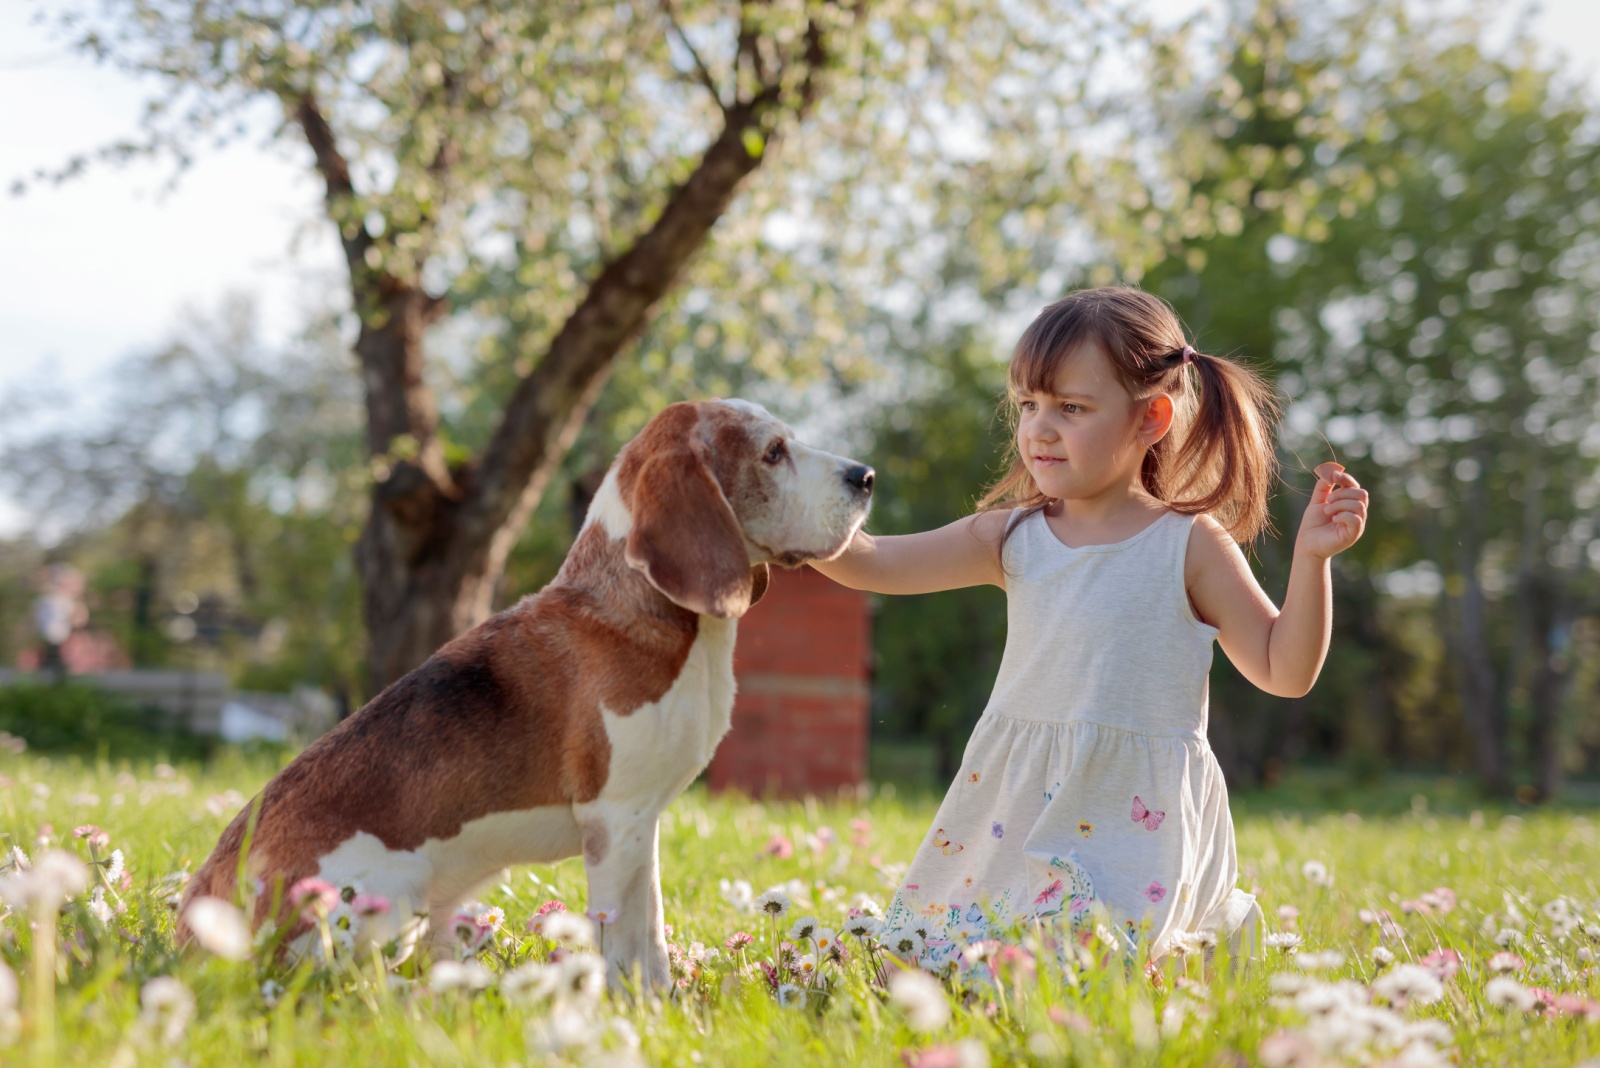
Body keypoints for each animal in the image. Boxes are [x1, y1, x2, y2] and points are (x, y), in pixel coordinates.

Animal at [181, 398, 876, 984]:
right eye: (774, 452)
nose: (866, 476)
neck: (642, 606)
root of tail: (200, 911)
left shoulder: (642, 829)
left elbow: (650, 940)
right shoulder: (614, 820)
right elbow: (622, 946)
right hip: (389, 897)